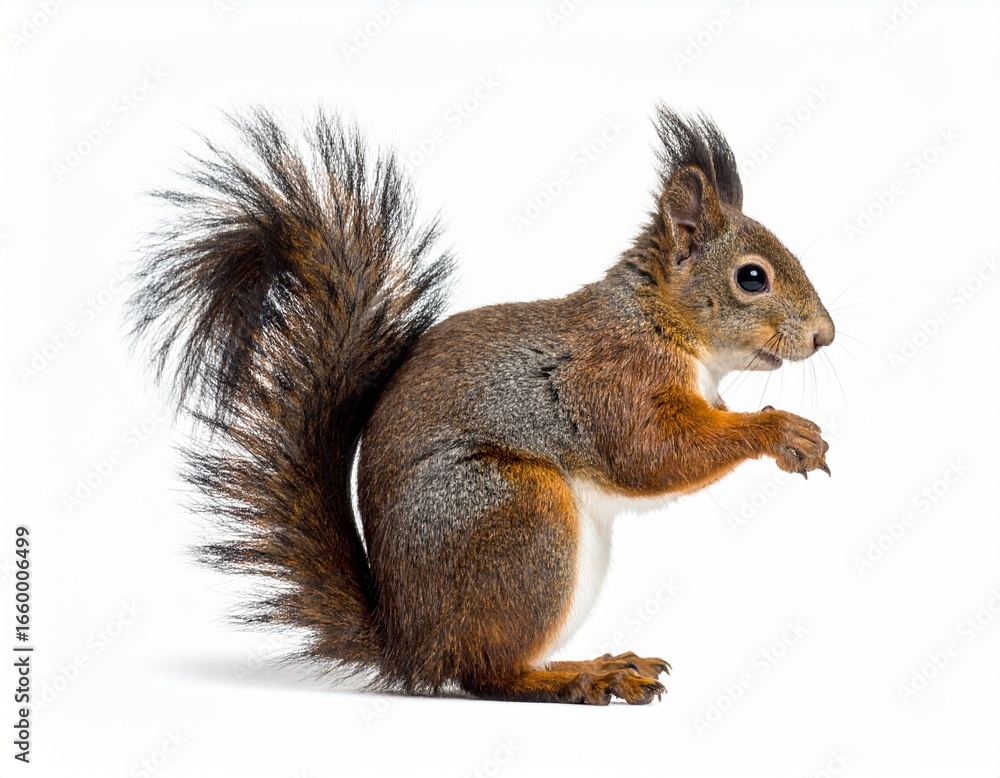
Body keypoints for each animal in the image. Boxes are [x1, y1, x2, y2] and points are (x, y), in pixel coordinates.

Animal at [130, 104, 834, 706]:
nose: (825, 336)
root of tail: (407, 643)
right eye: (751, 277)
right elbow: (651, 455)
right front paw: (780, 431)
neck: (660, 322)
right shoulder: (611, 381)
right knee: (485, 671)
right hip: (519, 515)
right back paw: (580, 677)